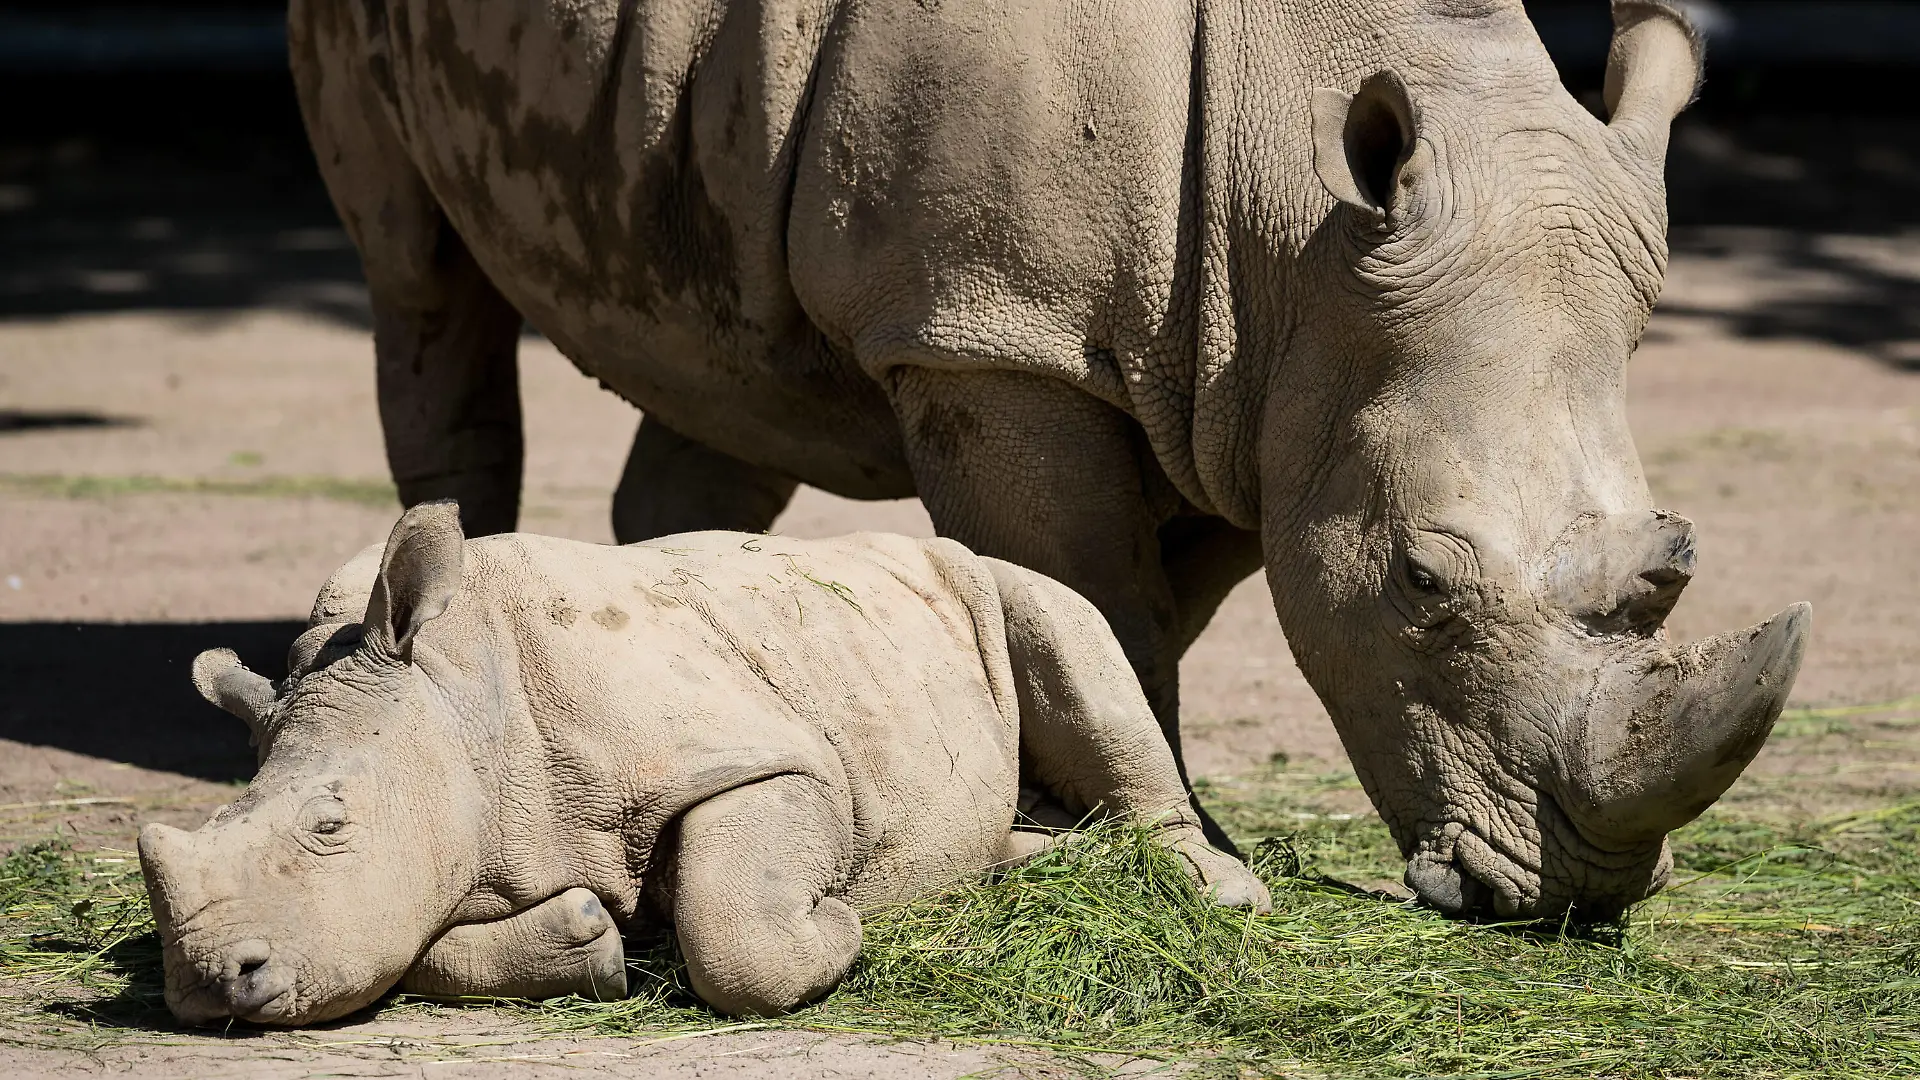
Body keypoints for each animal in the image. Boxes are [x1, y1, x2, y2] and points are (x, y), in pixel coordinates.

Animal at [138, 503, 1267, 1026]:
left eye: (331, 826)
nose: (205, 981)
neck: (461, 702)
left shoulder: (771, 762)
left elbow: (740, 931)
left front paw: (844, 925)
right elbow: (423, 948)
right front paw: (593, 944)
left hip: (987, 583)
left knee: (1064, 623)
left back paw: (1217, 894)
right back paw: (1017, 868)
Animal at [291, 0, 1809, 919]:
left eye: (1673, 561)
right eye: (1425, 584)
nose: (1573, 891)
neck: (1293, 199)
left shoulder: (1255, 382)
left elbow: (1156, 617)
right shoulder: (991, 334)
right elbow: (1085, 591)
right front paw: (1116, 840)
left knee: (714, 356)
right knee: (420, 280)